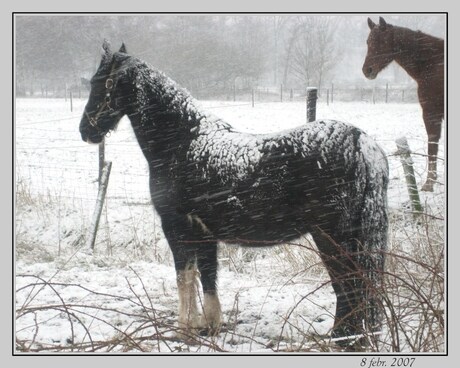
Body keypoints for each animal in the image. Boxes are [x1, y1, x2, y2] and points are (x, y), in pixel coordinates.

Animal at [80, 41, 388, 344]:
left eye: (101, 82)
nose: (85, 130)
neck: (183, 143)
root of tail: (362, 143)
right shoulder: (204, 233)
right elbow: (207, 276)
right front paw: (209, 326)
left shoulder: (177, 227)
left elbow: (184, 277)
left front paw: (184, 330)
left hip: (333, 236)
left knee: (350, 286)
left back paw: (342, 339)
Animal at [362, 16, 444, 193]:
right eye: (368, 41)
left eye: (382, 41)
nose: (367, 70)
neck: (432, 62)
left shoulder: (431, 112)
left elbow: (432, 144)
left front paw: (429, 183)